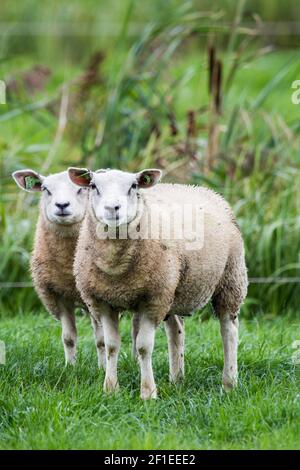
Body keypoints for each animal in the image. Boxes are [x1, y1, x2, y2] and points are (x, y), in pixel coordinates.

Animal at [12, 169, 106, 368]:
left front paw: (103, 368)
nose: (62, 205)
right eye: (46, 189)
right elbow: (68, 338)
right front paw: (70, 367)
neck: (68, 267)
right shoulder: (58, 295)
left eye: (81, 189)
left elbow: (102, 340)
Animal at [68, 167, 248, 398]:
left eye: (134, 186)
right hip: (173, 289)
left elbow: (144, 347)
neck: (116, 267)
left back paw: (229, 383)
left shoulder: (152, 301)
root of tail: (206, 190)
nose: (112, 208)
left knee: (229, 330)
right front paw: (110, 389)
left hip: (230, 278)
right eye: (93, 186)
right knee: (176, 330)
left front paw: (148, 393)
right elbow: (111, 346)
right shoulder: (103, 301)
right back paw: (177, 379)